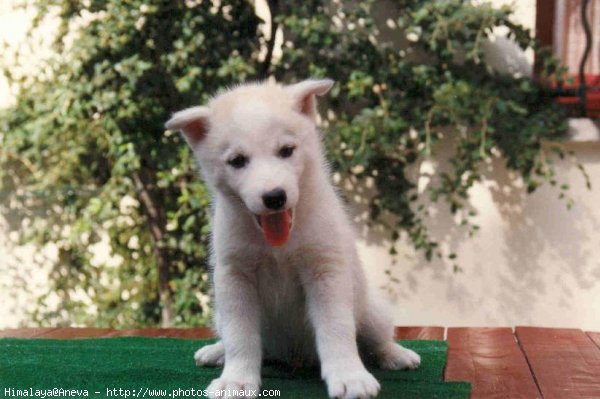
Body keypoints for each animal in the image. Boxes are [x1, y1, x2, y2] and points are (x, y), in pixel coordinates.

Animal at [165, 79, 422, 398]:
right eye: (237, 161)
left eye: (286, 150)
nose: (274, 197)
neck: (277, 244)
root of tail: (293, 357)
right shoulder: (234, 276)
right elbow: (240, 335)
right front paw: (236, 380)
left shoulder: (325, 270)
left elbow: (336, 328)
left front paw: (349, 377)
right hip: (220, 315)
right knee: (237, 338)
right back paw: (217, 351)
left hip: (372, 311)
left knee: (375, 340)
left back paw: (396, 355)